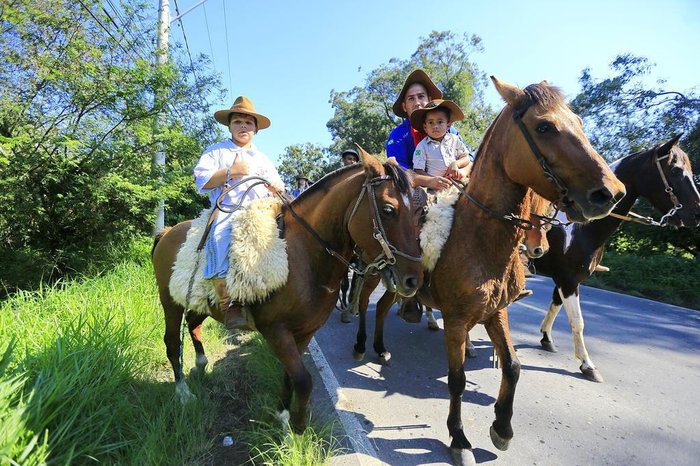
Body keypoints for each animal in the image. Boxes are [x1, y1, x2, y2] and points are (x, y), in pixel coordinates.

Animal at [151, 153, 422, 434]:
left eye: (417, 210)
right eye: (389, 209)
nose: (414, 279)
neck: (302, 256)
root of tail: (167, 232)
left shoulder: (304, 331)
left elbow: (290, 374)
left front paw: (282, 416)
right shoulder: (276, 330)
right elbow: (303, 380)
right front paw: (298, 429)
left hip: (201, 302)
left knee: (193, 324)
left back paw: (201, 365)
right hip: (169, 301)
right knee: (172, 343)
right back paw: (184, 393)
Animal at [532, 135, 700, 382]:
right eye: (677, 170)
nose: (696, 214)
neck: (580, 227)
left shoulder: (567, 278)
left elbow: (556, 305)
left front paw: (547, 339)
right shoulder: (569, 280)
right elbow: (578, 321)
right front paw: (587, 365)